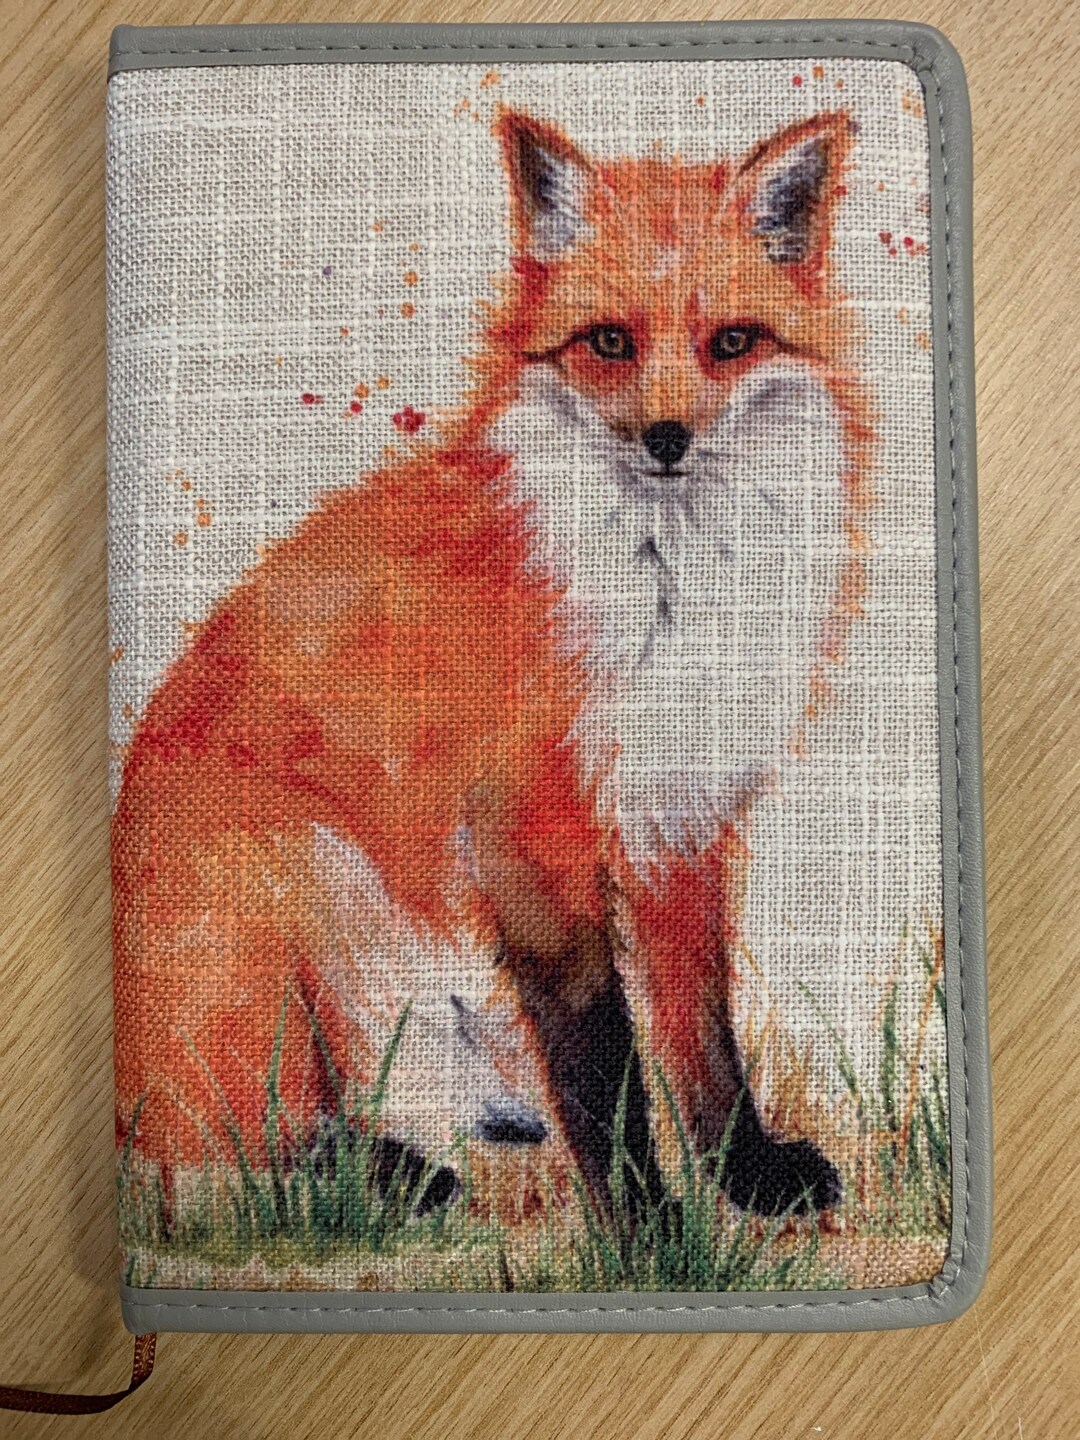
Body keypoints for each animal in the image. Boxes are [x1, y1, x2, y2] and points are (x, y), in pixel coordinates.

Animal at [113, 106, 874, 1221]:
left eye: (732, 342)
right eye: (609, 342)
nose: (668, 439)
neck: (666, 590)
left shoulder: (678, 818)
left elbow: (700, 1030)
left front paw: (744, 1172)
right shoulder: (530, 833)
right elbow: (602, 1068)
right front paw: (647, 1229)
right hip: (292, 901)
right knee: (229, 1162)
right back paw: (380, 1182)